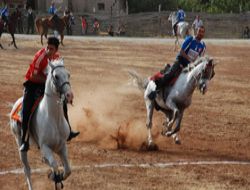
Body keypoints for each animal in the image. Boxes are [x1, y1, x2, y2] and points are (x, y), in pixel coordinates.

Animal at [10, 58, 74, 189]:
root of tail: (16, 104)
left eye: (68, 74)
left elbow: (68, 170)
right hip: (20, 143)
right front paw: (54, 177)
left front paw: (57, 176)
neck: (54, 118)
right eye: (56, 76)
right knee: (27, 170)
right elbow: (55, 165)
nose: (69, 95)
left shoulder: (62, 146)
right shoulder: (45, 147)